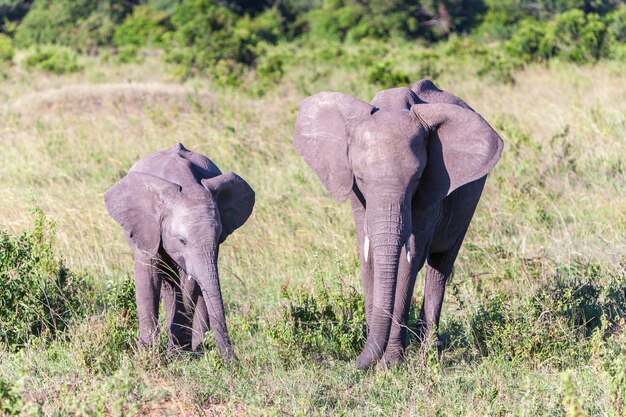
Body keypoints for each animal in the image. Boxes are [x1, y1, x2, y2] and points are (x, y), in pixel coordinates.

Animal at [105, 142, 254, 358]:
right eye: (182, 240)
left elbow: (190, 283)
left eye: (219, 237)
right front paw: (148, 355)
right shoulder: (147, 228)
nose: (234, 361)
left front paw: (177, 353)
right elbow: (148, 277)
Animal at [292, 78, 502, 368]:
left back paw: (429, 351)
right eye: (360, 177)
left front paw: (390, 362)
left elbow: (408, 260)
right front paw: (376, 355)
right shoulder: (356, 194)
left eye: (416, 179)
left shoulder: (431, 190)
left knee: (441, 264)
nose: (355, 364)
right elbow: (368, 256)